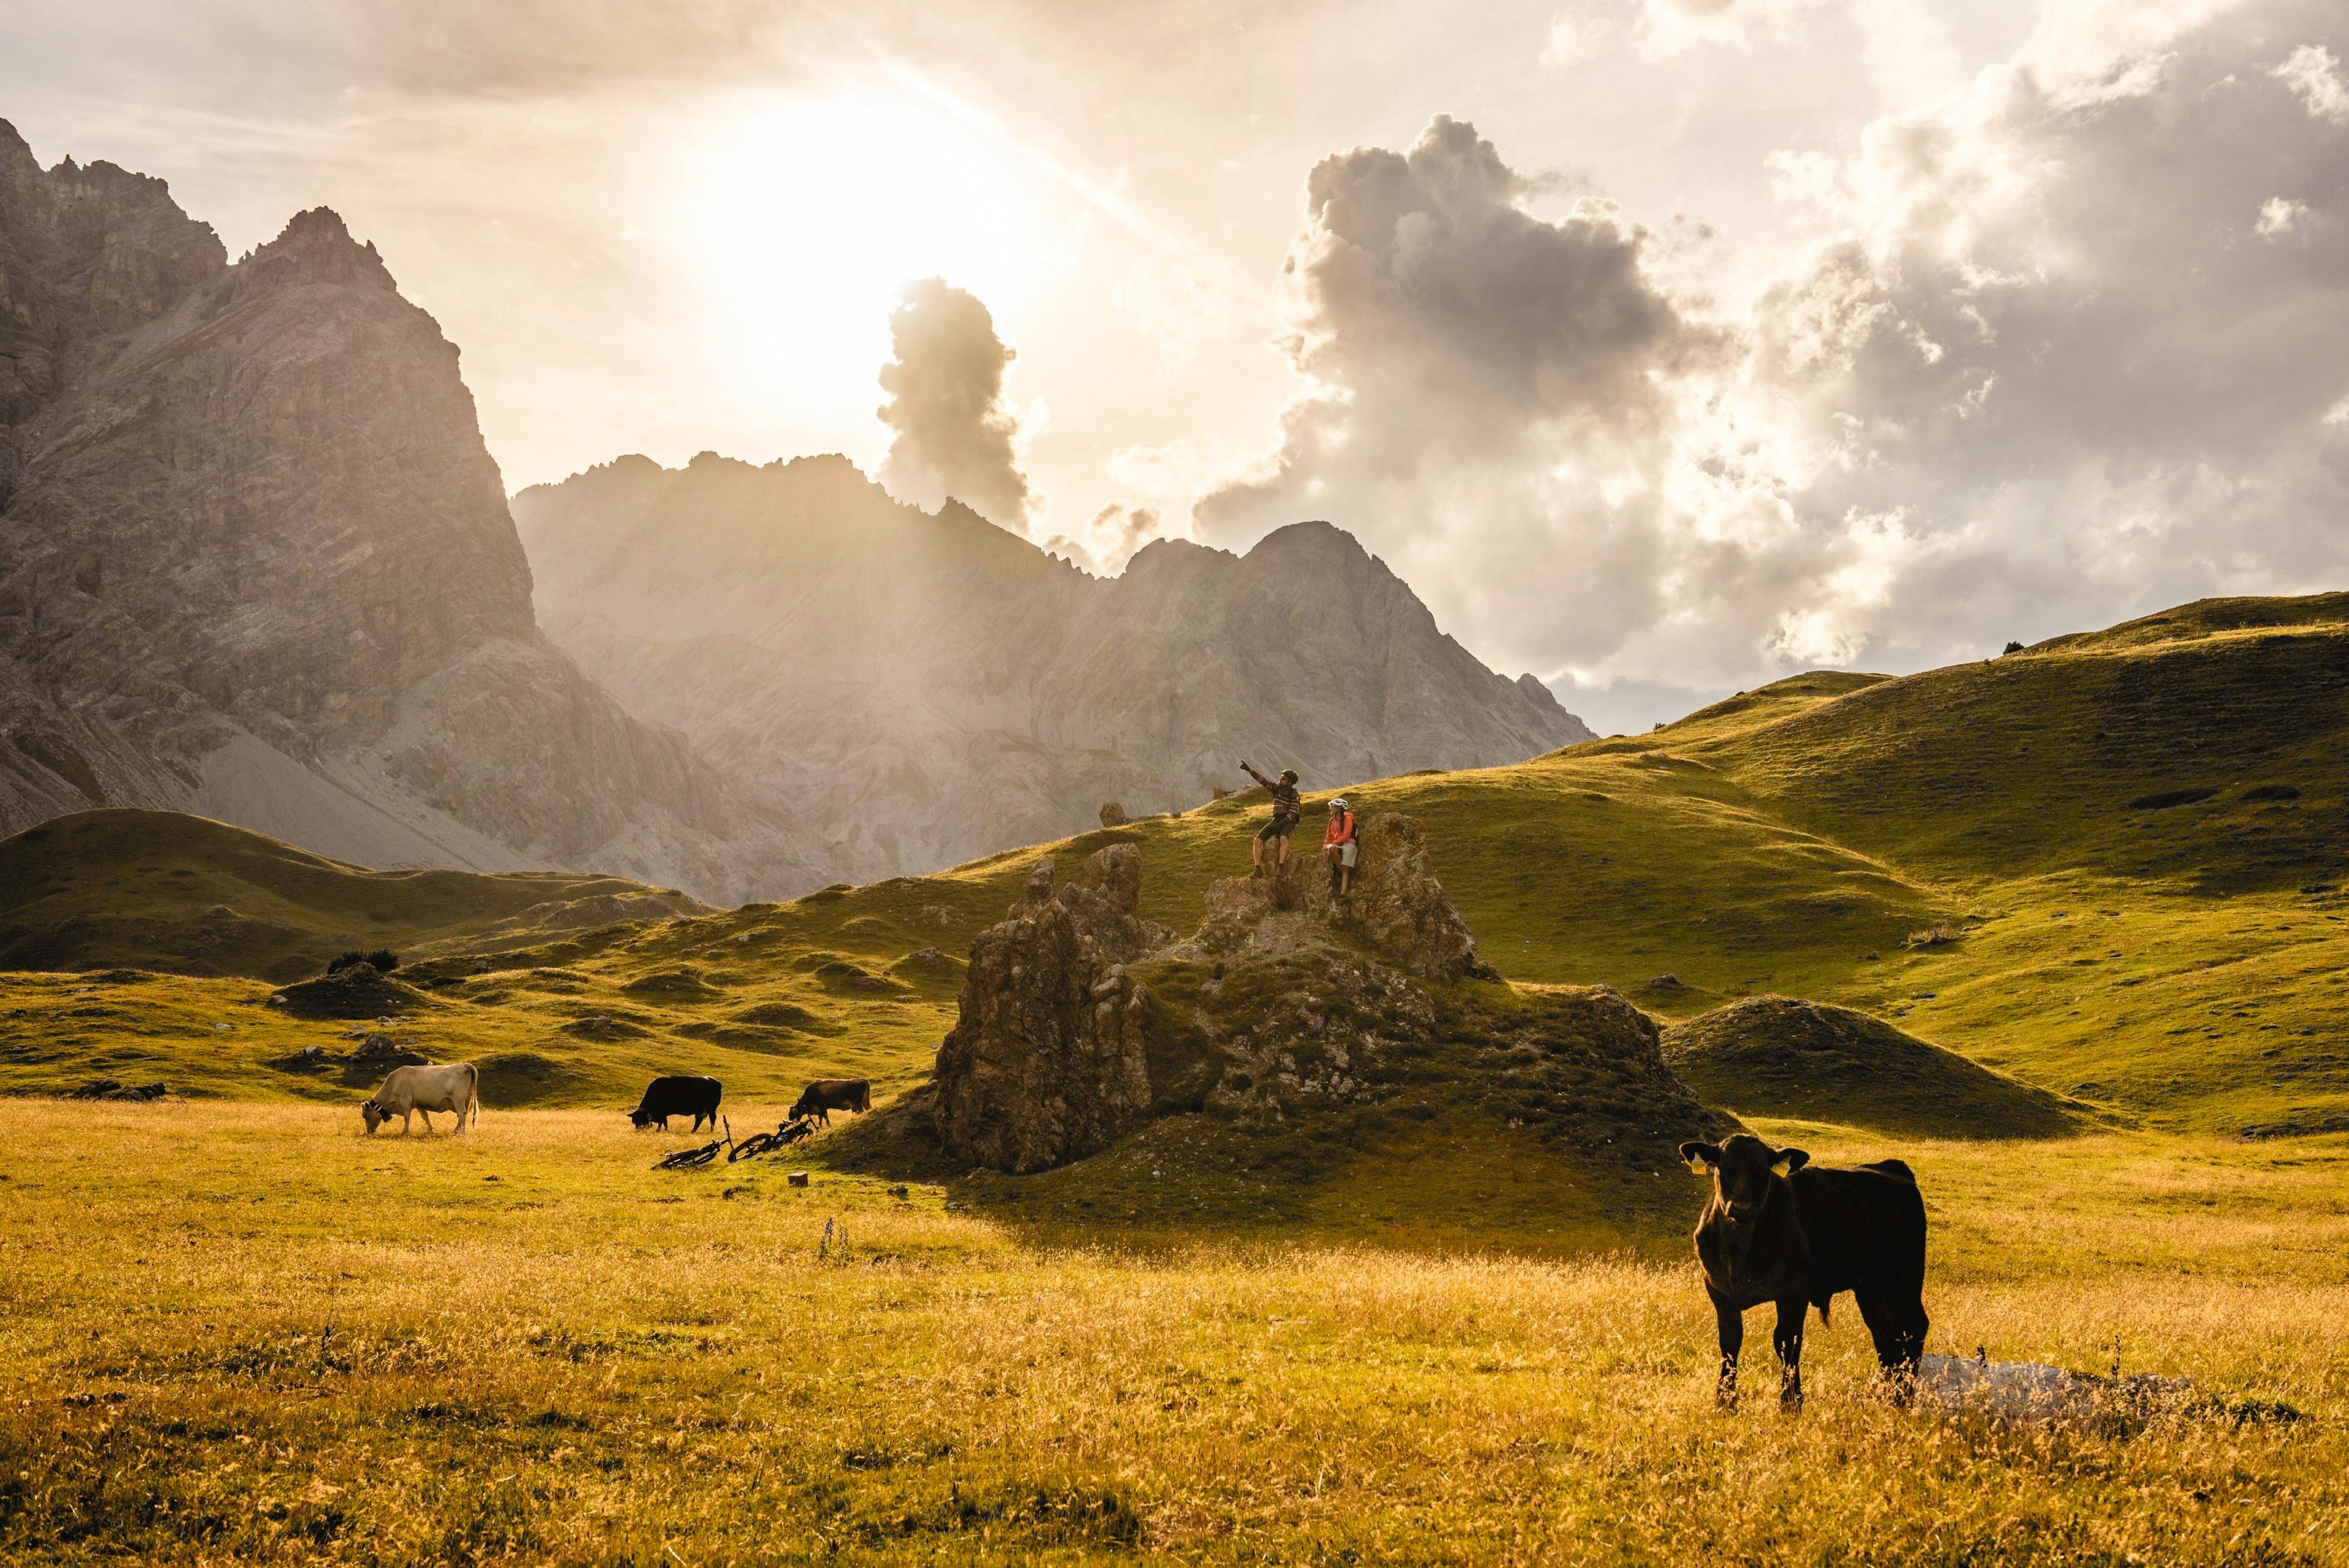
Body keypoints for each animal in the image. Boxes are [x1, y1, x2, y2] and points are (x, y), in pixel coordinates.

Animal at [359, 1062, 479, 1133]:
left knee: (462, 1113)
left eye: (366, 1116)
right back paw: (456, 1130)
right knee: (461, 1115)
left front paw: (404, 1131)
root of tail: (463, 1065)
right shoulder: (418, 1104)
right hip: (467, 1100)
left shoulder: (406, 1101)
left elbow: (407, 1117)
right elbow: (425, 1117)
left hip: (459, 1100)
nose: (368, 1131)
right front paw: (431, 1130)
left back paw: (462, 1132)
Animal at [629, 1081, 719, 1128]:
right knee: (699, 1121)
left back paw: (711, 1131)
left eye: (642, 1121)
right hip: (701, 1112)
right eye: (634, 1122)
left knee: (712, 1119)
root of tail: (717, 1082)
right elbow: (663, 1123)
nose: (638, 1131)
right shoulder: (662, 1115)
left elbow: (664, 1123)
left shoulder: (662, 1114)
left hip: (711, 1110)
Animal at [789, 1081, 874, 1128]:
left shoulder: (823, 1107)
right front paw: (820, 1126)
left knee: (862, 1111)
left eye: (792, 1114)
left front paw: (829, 1125)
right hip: (864, 1103)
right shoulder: (821, 1109)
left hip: (858, 1105)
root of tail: (864, 1080)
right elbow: (821, 1117)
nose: (791, 1122)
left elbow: (825, 1116)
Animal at [1691, 1133, 1926, 1419]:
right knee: (1885, 1336)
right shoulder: (1719, 1291)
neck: (1739, 1250)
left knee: (1912, 1329)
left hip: (1904, 1277)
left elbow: (1786, 1342)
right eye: (1722, 1167)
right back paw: (1889, 1397)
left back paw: (1905, 1396)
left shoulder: (1794, 1292)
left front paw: (1790, 1402)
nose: (1742, 1208)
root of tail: (1891, 1168)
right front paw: (1725, 1400)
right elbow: (1730, 1342)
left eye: (1764, 1170)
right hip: (1871, 1287)